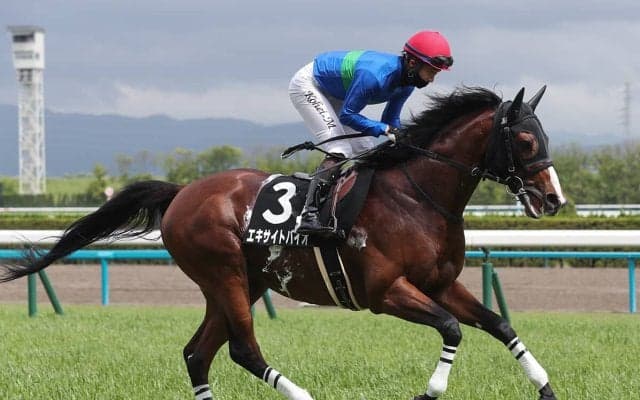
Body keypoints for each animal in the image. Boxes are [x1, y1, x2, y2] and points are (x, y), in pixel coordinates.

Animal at [0, 86, 566, 400]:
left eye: (544, 136)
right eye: (525, 140)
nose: (554, 198)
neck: (417, 195)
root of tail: (183, 192)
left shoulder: (441, 284)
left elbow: (499, 324)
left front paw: (546, 387)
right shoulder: (385, 292)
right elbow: (452, 329)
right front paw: (428, 394)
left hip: (241, 282)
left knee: (197, 354)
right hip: (225, 273)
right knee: (243, 350)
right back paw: (304, 395)